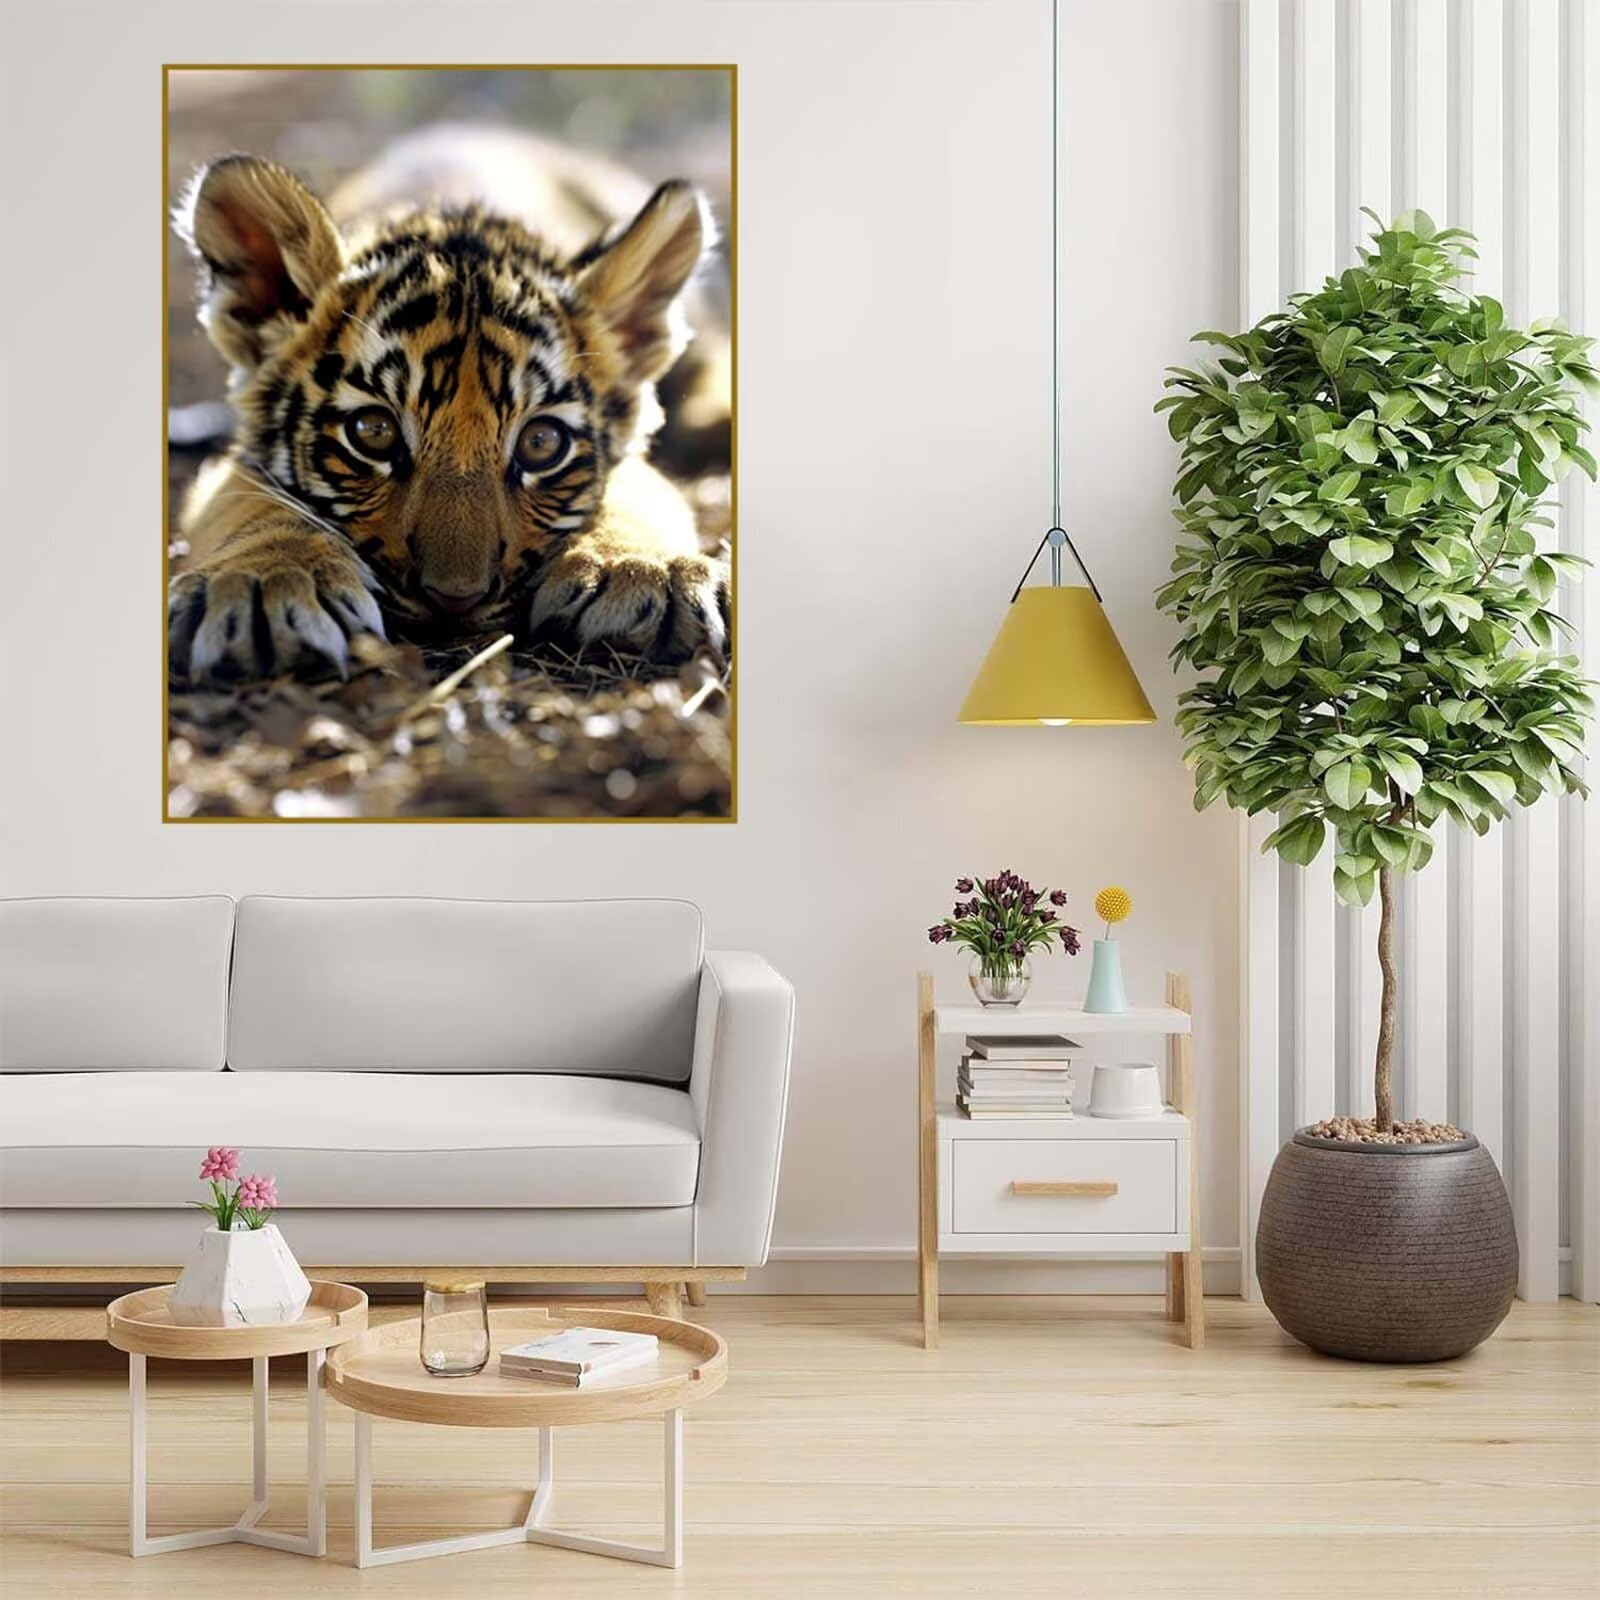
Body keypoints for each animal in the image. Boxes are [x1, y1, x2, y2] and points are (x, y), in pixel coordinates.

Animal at [167, 127, 730, 683]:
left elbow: (633, 492)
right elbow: (256, 503)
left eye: (542, 443)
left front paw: (645, 569)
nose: (454, 598)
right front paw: (264, 582)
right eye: (374, 432)